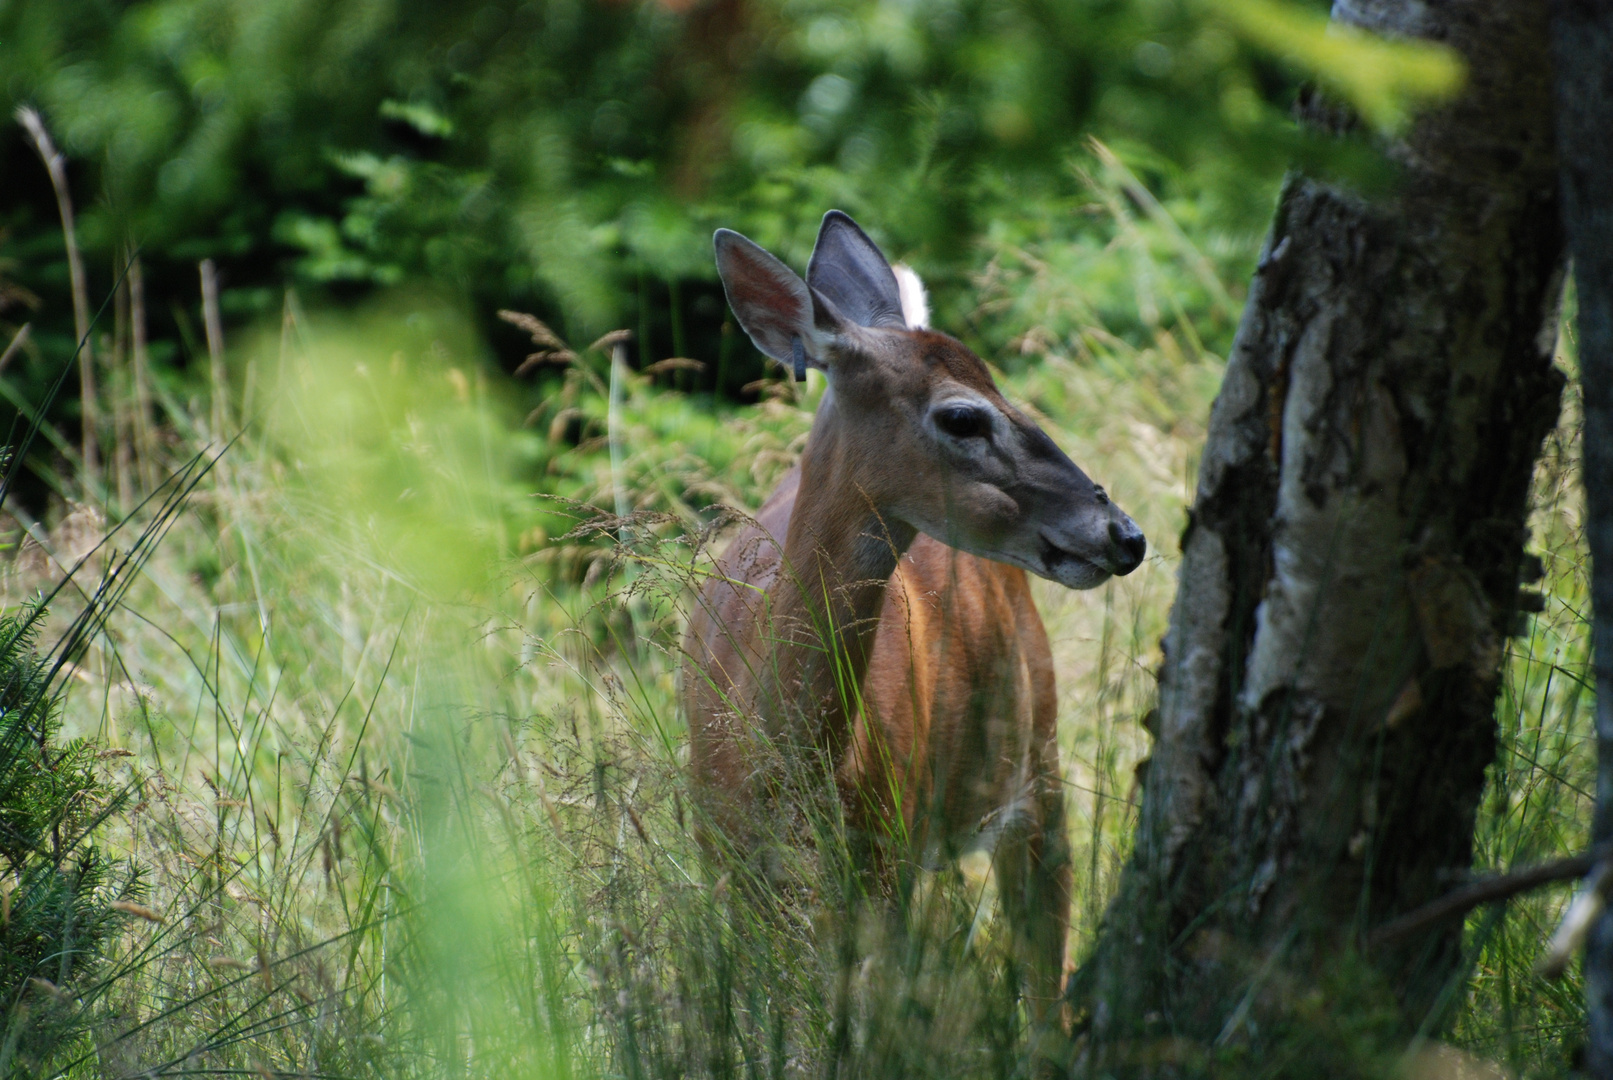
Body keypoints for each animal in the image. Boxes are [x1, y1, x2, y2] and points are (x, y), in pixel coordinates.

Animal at [680, 211, 1148, 1025]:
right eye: (962, 415)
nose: (1125, 533)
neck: (792, 768)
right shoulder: (729, 859)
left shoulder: (884, 851)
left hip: (1038, 755)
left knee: (1046, 975)